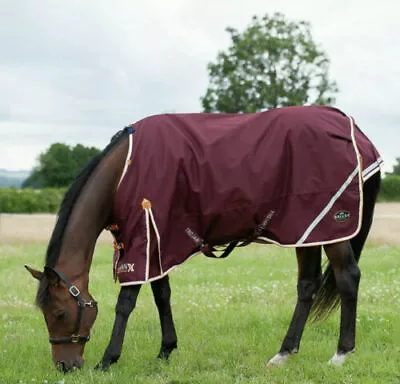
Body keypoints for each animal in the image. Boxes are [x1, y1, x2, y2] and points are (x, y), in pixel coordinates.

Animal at [25, 106, 382, 372]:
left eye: (59, 313)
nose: (65, 366)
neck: (123, 171)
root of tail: (352, 128)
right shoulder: (158, 241)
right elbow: (162, 295)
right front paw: (165, 350)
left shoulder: (142, 240)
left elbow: (126, 303)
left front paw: (108, 359)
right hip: (306, 231)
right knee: (307, 285)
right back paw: (283, 353)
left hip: (331, 228)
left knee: (348, 278)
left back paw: (341, 354)